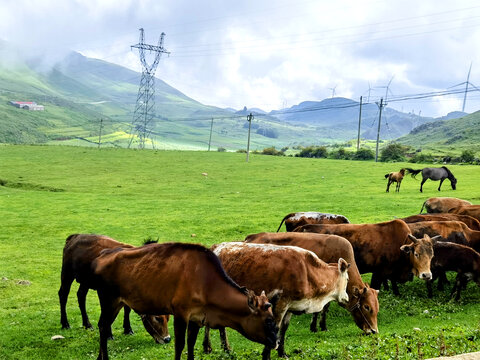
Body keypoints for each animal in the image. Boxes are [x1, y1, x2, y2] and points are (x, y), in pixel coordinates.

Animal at [92, 242, 278, 360]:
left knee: (103, 326)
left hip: (116, 302)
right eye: (269, 320)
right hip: (109, 299)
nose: (276, 342)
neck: (207, 283)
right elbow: (180, 345)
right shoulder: (181, 313)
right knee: (102, 326)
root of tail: (101, 256)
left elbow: (190, 344)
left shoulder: (197, 317)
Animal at [202, 242, 348, 360]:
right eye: (347, 279)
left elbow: (284, 328)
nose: (346, 297)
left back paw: (223, 348)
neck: (307, 272)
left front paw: (282, 353)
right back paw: (208, 347)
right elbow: (276, 327)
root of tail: (214, 247)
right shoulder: (281, 302)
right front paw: (267, 354)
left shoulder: (291, 306)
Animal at [244, 232, 378, 336]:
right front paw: (316, 326)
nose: (374, 331)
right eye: (367, 307)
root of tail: (251, 237)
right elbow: (322, 308)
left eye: (377, 308)